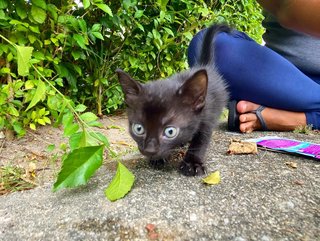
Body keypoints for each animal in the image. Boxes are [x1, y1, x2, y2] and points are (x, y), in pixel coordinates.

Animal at [116, 24, 229, 175]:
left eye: (170, 131)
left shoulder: (208, 116)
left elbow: (201, 140)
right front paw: (158, 158)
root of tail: (204, 66)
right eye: (138, 129)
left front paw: (192, 163)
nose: (149, 150)